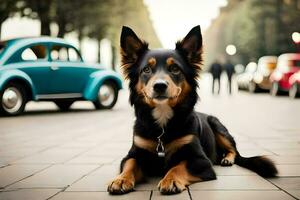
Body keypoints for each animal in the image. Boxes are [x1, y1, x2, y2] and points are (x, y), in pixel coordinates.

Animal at [107, 25, 276, 195]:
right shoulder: (133, 153)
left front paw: (170, 180)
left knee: (233, 150)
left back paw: (227, 158)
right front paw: (121, 179)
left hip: (217, 125)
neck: (162, 124)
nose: (159, 86)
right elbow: (130, 164)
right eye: (146, 69)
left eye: (175, 68)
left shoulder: (201, 161)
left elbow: (178, 166)